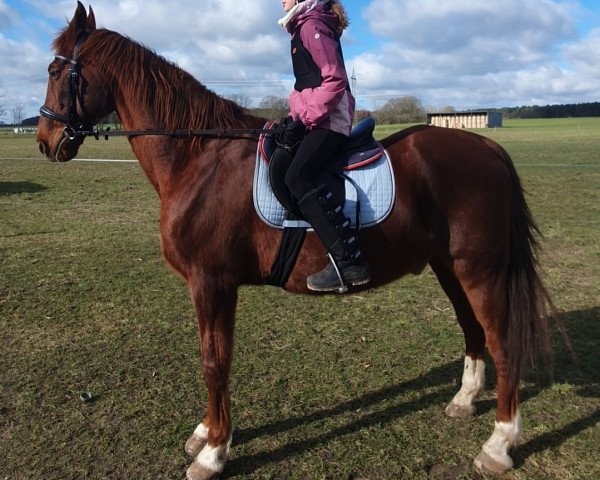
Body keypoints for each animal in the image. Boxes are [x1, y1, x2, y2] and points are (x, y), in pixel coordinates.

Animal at [37, 4, 552, 480]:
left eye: (56, 71)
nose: (45, 140)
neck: (198, 157)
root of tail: (485, 146)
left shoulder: (211, 283)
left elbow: (214, 361)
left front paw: (213, 451)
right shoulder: (211, 286)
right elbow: (213, 357)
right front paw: (207, 433)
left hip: (479, 270)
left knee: (502, 341)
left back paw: (499, 444)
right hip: (450, 267)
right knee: (472, 329)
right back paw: (465, 400)